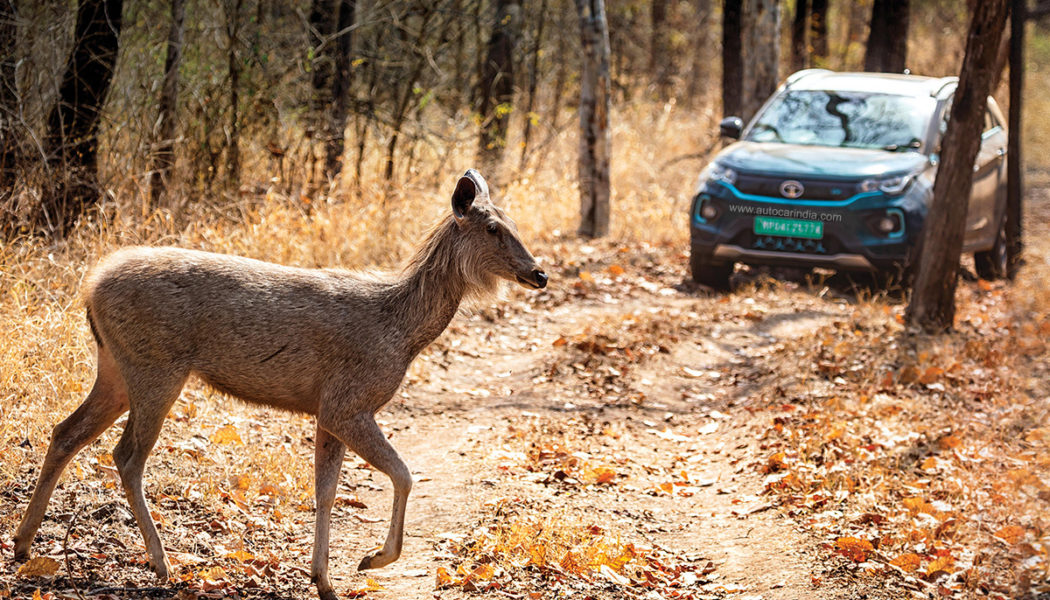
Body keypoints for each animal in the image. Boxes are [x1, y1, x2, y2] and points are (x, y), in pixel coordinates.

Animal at [12, 169, 546, 600]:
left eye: (515, 223)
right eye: (493, 228)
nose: (539, 273)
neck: (403, 331)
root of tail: (90, 288)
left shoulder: (326, 411)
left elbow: (326, 490)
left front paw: (324, 581)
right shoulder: (348, 401)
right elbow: (403, 474)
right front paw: (372, 559)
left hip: (116, 368)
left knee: (65, 432)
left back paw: (22, 546)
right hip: (155, 367)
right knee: (126, 456)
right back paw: (163, 565)